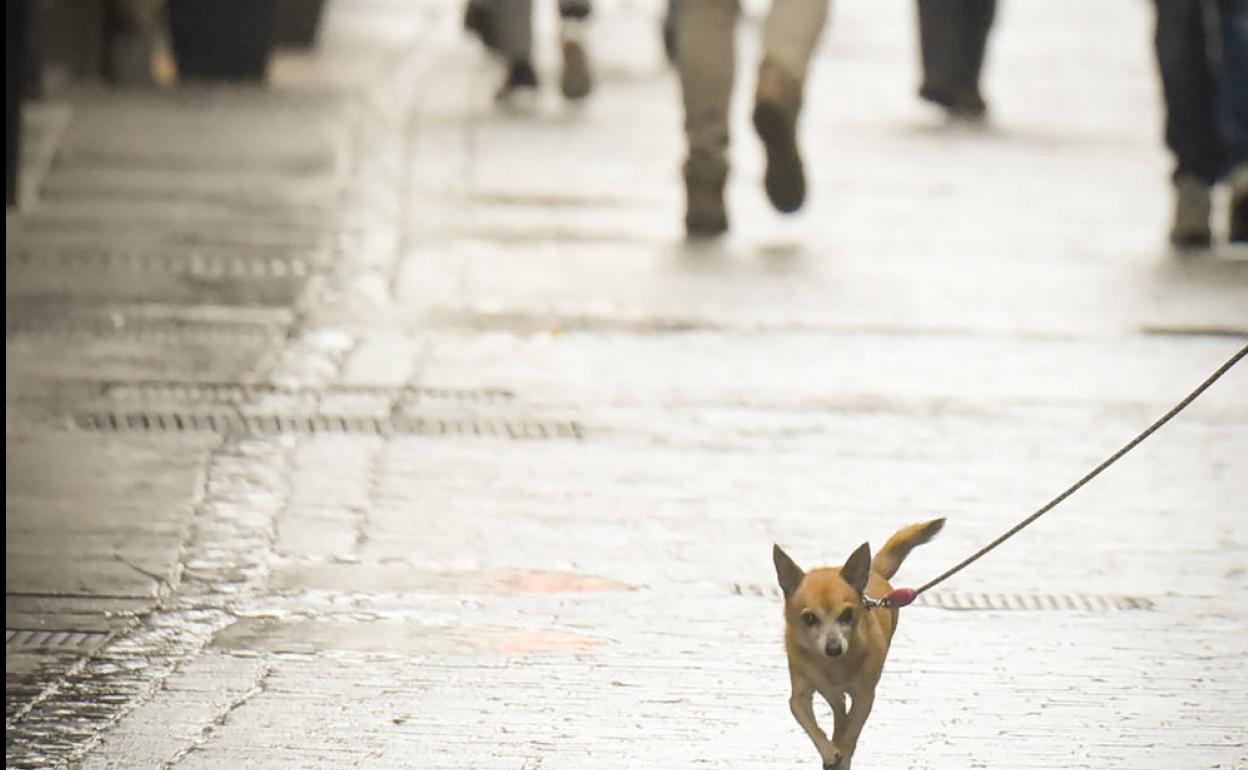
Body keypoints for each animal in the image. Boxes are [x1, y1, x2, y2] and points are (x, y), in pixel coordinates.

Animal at [768, 516, 943, 768]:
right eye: (809, 618)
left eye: (847, 615)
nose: (833, 648)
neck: (833, 666)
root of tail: (875, 571)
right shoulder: (800, 697)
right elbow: (810, 723)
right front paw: (829, 752)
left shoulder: (864, 696)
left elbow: (851, 731)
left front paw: (842, 752)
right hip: (829, 693)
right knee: (839, 708)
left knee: (843, 717)